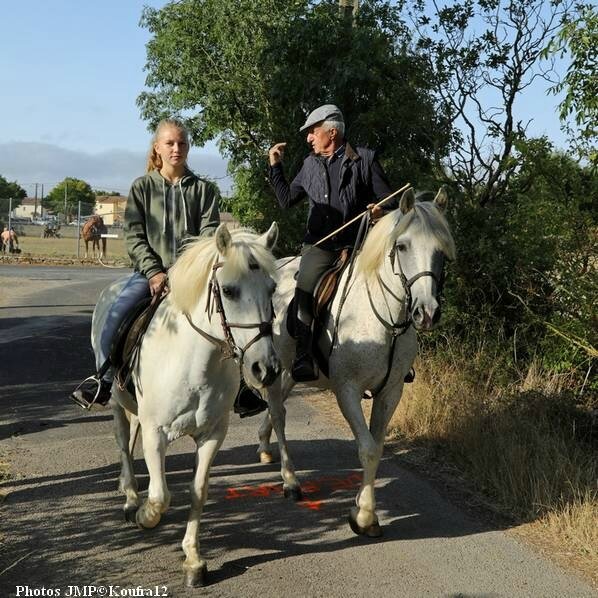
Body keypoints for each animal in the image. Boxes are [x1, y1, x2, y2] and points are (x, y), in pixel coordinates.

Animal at [93, 223, 282, 588]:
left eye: (272, 288)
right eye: (229, 290)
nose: (265, 369)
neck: (193, 364)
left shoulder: (212, 436)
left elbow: (199, 492)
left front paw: (193, 560)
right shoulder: (156, 433)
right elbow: (160, 496)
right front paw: (144, 515)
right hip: (117, 402)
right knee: (123, 442)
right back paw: (130, 498)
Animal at [255, 189, 458, 540]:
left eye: (441, 250)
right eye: (402, 246)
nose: (427, 313)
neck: (384, 319)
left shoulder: (390, 393)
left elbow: (377, 448)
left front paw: (365, 512)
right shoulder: (347, 391)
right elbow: (367, 449)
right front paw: (363, 517)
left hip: (292, 371)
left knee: (277, 407)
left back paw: (265, 446)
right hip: (276, 369)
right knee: (279, 414)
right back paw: (290, 481)